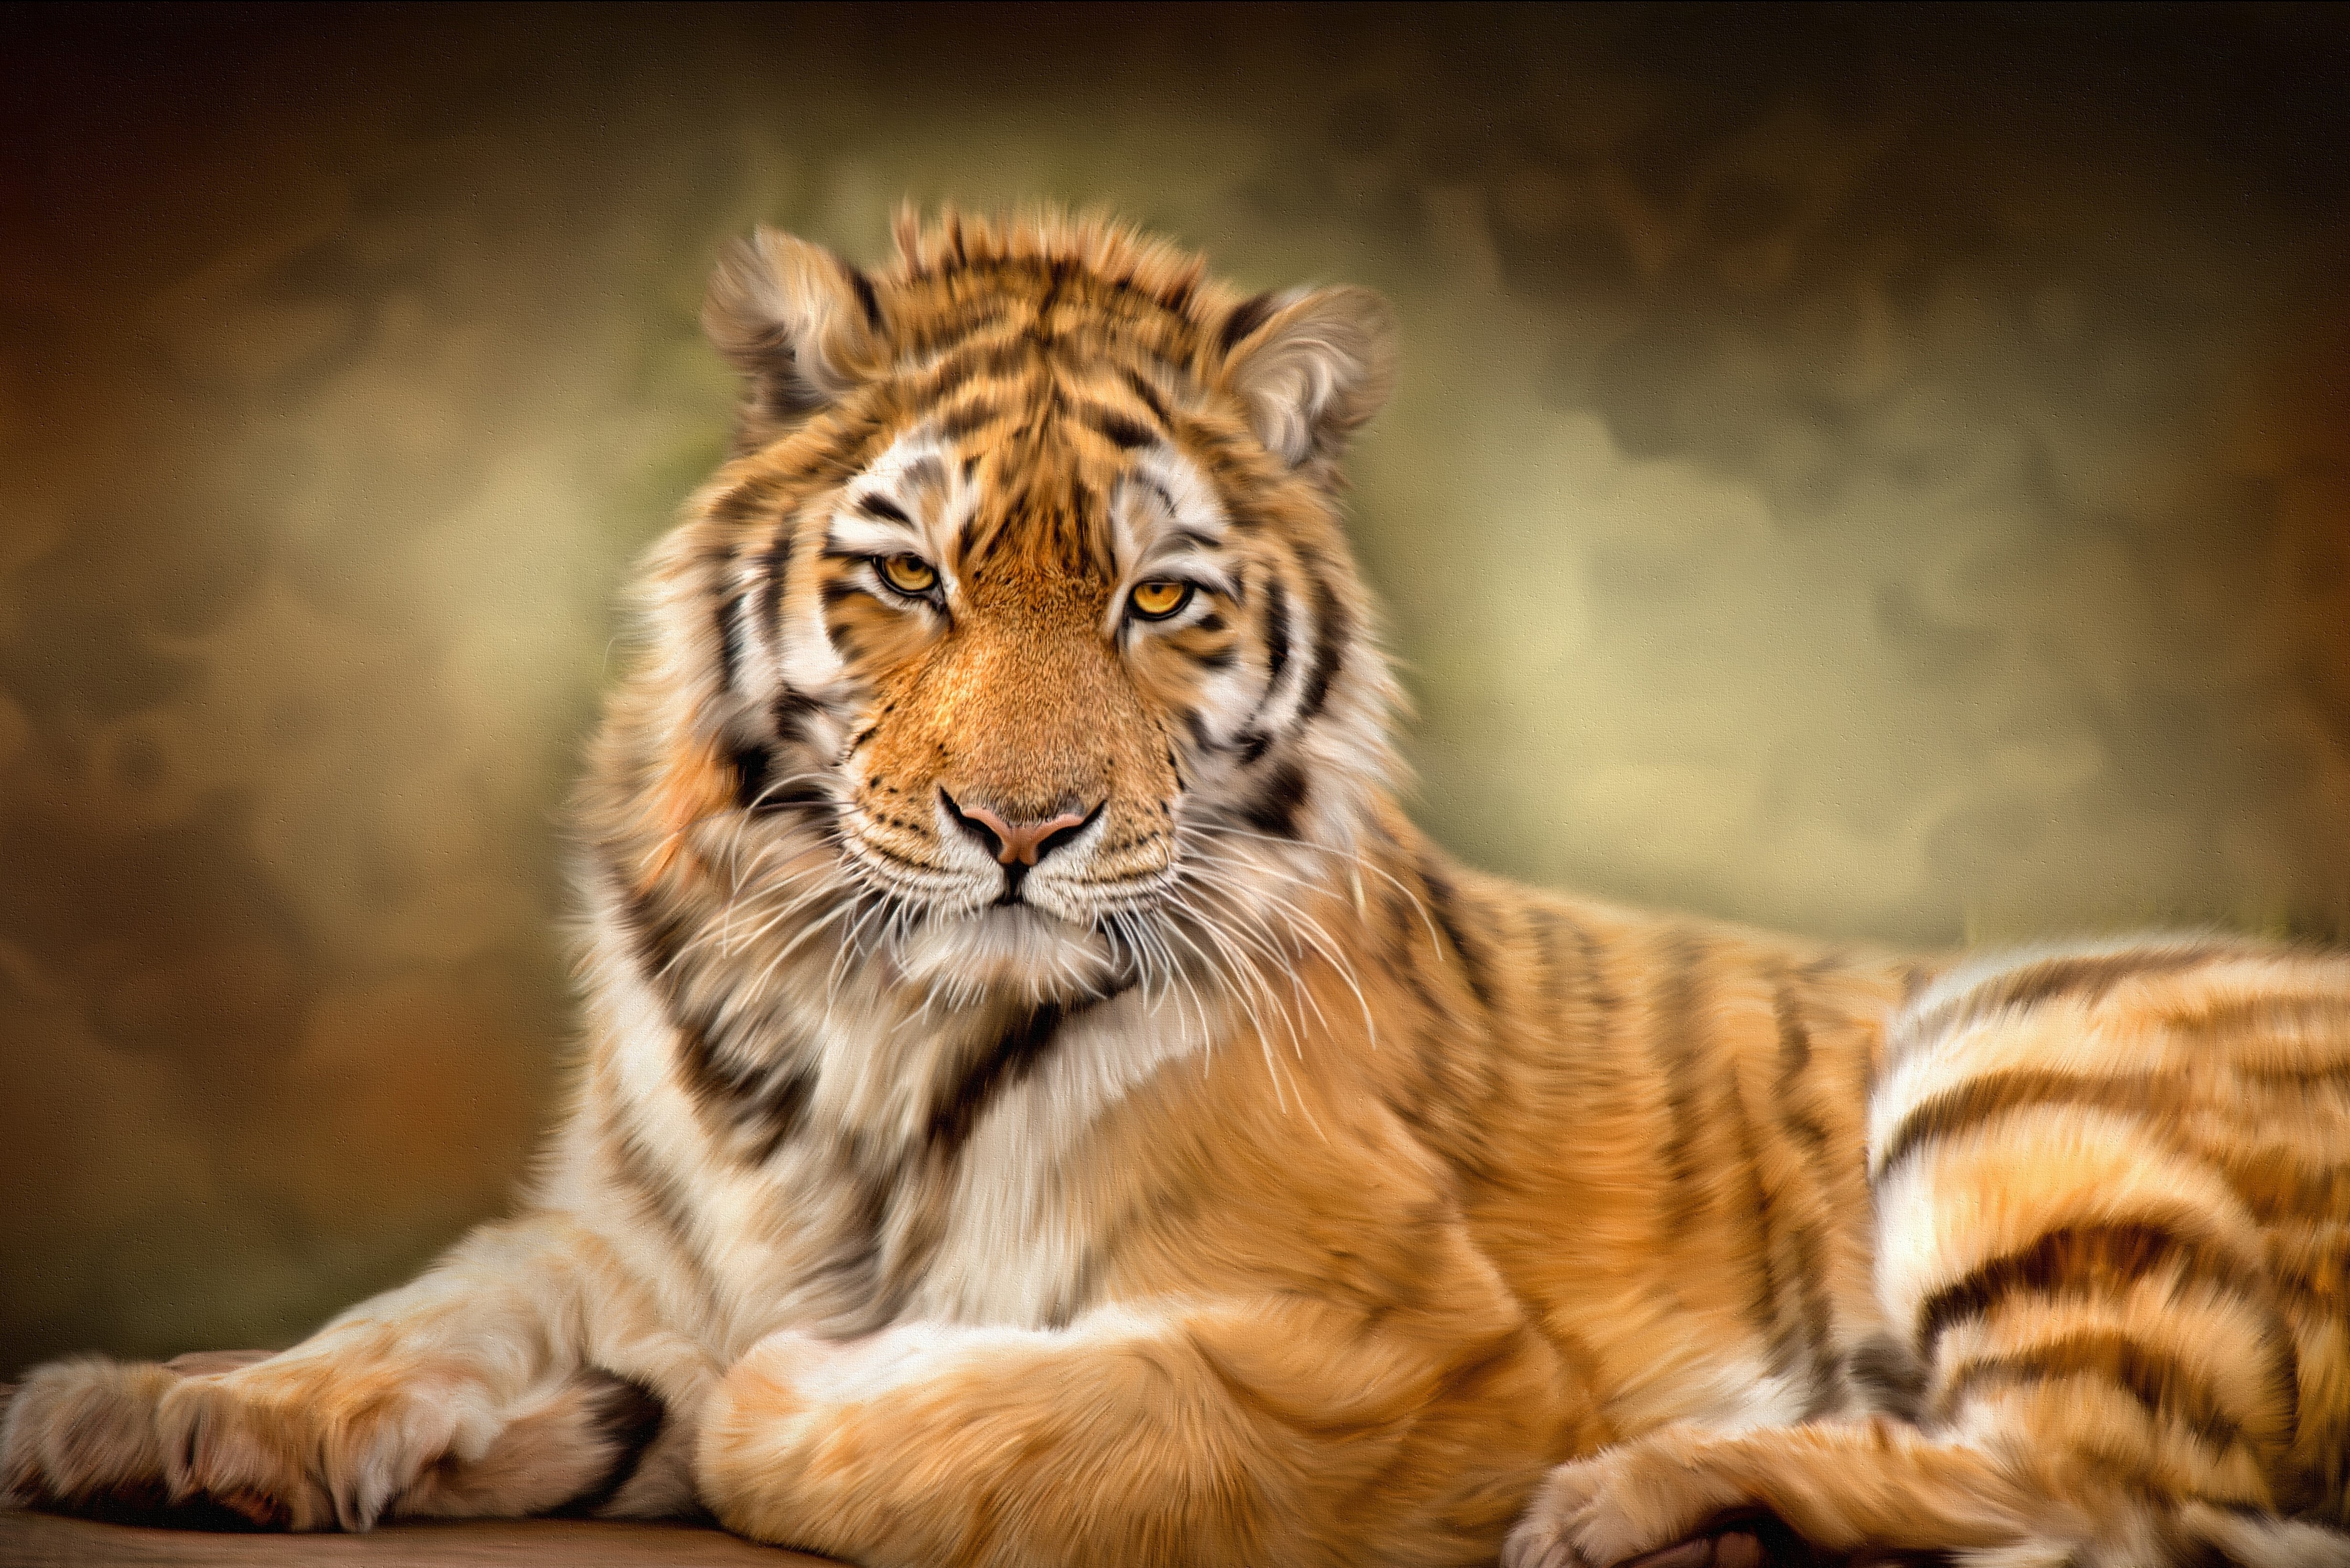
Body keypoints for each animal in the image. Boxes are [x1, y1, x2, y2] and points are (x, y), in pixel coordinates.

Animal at [5, 207, 2349, 1568]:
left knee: (2098, 1485)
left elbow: (986, 1420)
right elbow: (419, 1308)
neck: (872, 1008)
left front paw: (750, 1402)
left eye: (1160, 600)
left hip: (2008, 1037)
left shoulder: (1397, 1344)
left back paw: (1639, 1500)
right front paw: (168, 1405)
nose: (1019, 829)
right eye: (909, 577)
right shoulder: (624, 1225)